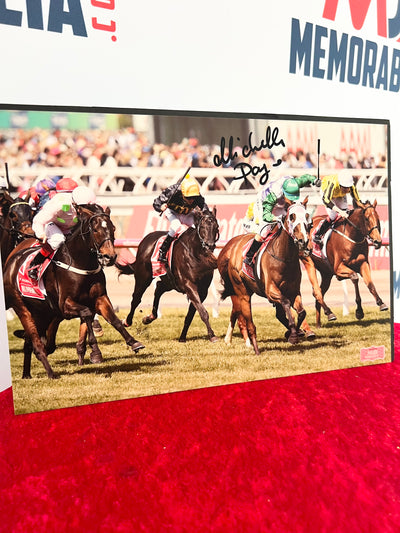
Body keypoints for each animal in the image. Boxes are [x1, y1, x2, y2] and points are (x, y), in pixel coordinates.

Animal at [3, 202, 145, 376]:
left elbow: (114, 320)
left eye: (113, 228)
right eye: (95, 230)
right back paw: (48, 372)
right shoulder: (65, 304)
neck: (81, 263)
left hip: (41, 313)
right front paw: (95, 349)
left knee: (30, 342)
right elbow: (87, 314)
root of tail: (11, 262)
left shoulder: (99, 298)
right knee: (35, 340)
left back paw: (27, 374)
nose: (110, 257)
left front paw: (133, 342)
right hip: (22, 308)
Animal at [115, 206, 220, 342]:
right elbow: (203, 312)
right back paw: (127, 321)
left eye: (216, 227)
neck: (196, 253)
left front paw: (182, 337)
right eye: (202, 227)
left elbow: (191, 314)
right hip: (143, 277)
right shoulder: (189, 285)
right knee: (136, 298)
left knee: (158, 288)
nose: (210, 245)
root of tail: (146, 239)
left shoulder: (202, 290)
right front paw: (212, 335)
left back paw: (149, 318)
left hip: (170, 282)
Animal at [219, 200, 312, 354]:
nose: (303, 241)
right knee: (249, 322)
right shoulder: (271, 291)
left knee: (238, 312)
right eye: (291, 217)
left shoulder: (293, 291)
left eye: (307, 216)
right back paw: (254, 348)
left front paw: (295, 332)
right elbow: (286, 303)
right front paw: (293, 334)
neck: (284, 257)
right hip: (242, 293)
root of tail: (231, 248)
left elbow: (301, 312)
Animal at [304, 197, 388, 326]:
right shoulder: (338, 268)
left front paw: (381, 303)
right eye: (367, 219)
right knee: (317, 292)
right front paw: (359, 311)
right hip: (309, 262)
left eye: (378, 218)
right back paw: (329, 313)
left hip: (326, 273)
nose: (378, 241)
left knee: (319, 292)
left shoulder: (363, 264)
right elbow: (354, 277)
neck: (352, 237)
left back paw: (319, 323)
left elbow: (370, 284)